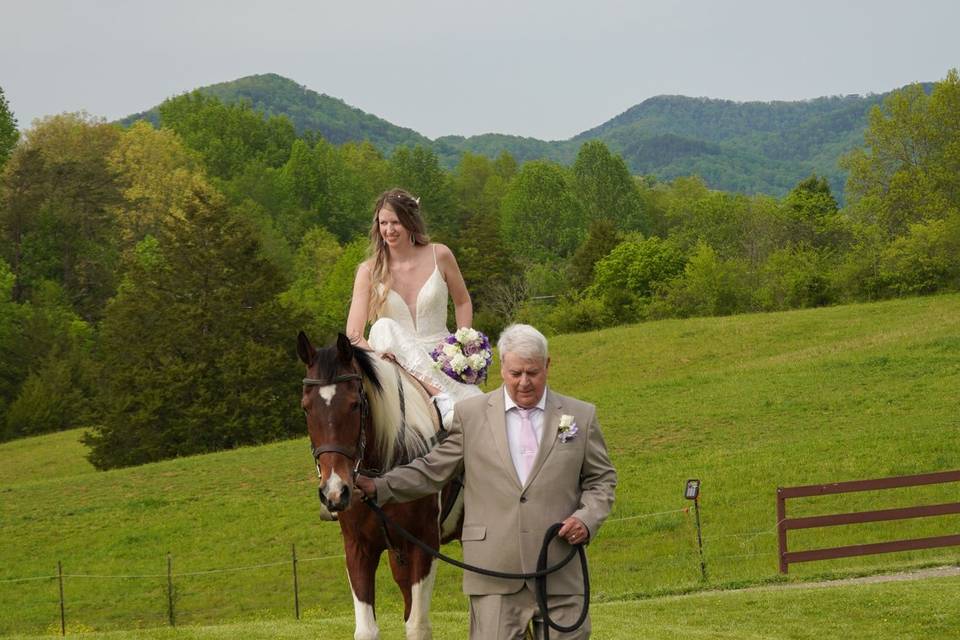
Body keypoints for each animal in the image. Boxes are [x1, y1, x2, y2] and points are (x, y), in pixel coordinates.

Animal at [298, 332, 464, 636]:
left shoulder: (424, 543)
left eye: (355, 404)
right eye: (306, 408)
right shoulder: (358, 549)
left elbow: (417, 626)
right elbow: (367, 629)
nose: (335, 492)